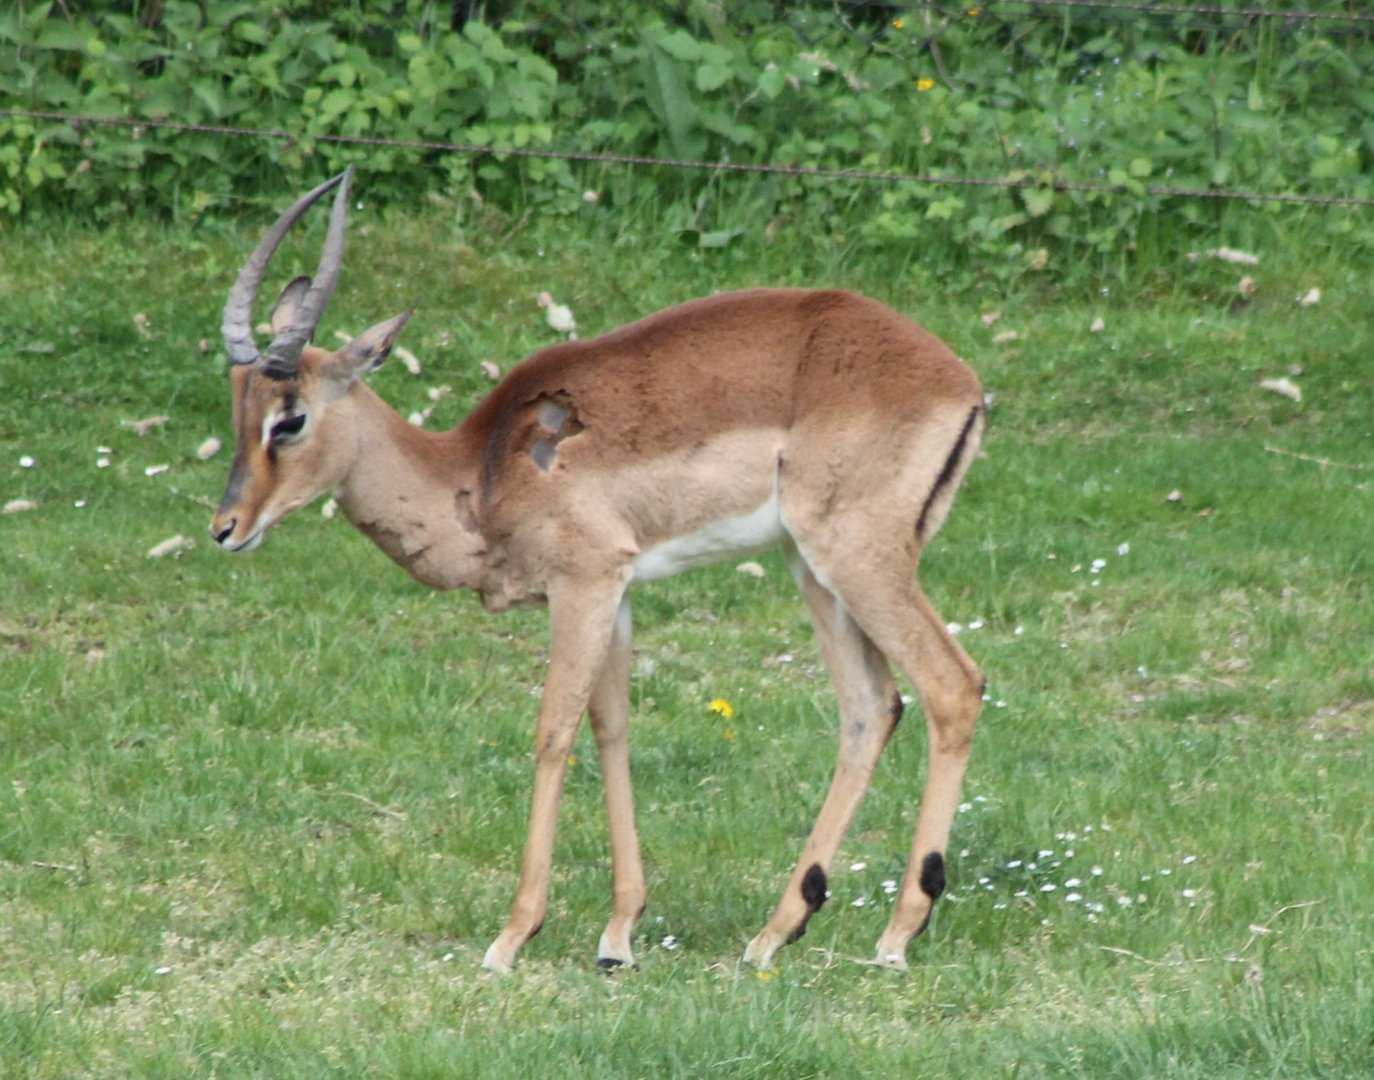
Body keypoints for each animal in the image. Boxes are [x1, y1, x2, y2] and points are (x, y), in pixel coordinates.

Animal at [210, 168, 986, 974]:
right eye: (237, 407)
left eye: (290, 418)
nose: (225, 529)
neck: (480, 470)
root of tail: (959, 381)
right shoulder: (617, 591)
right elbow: (612, 726)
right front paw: (618, 938)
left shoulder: (581, 585)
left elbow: (554, 731)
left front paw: (512, 936)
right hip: (813, 569)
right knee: (870, 707)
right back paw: (776, 932)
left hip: (856, 560)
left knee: (952, 687)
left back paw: (897, 933)